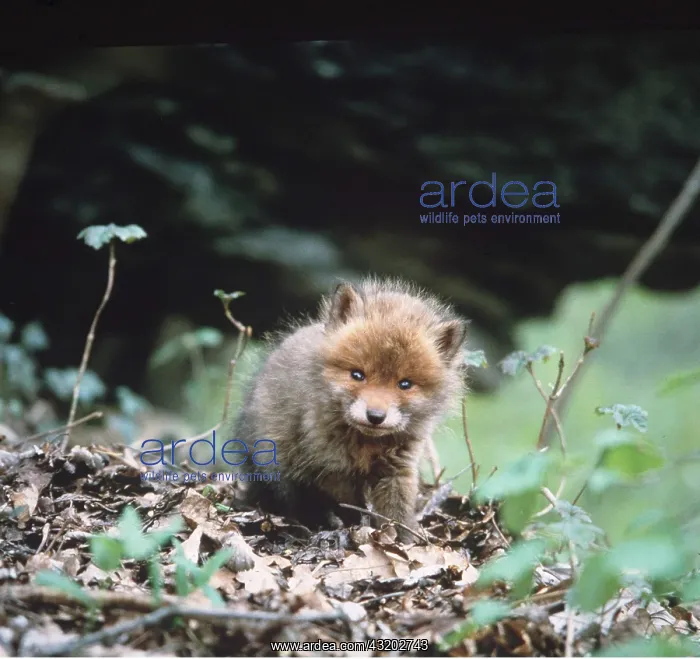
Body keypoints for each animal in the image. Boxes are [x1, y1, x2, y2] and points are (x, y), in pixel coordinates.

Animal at [230, 277, 468, 543]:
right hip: (276, 465)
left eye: (405, 384)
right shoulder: (330, 467)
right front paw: (357, 530)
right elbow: (350, 507)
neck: (366, 443)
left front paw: (403, 539)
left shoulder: (397, 467)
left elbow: (397, 511)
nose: (375, 416)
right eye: (357, 375)